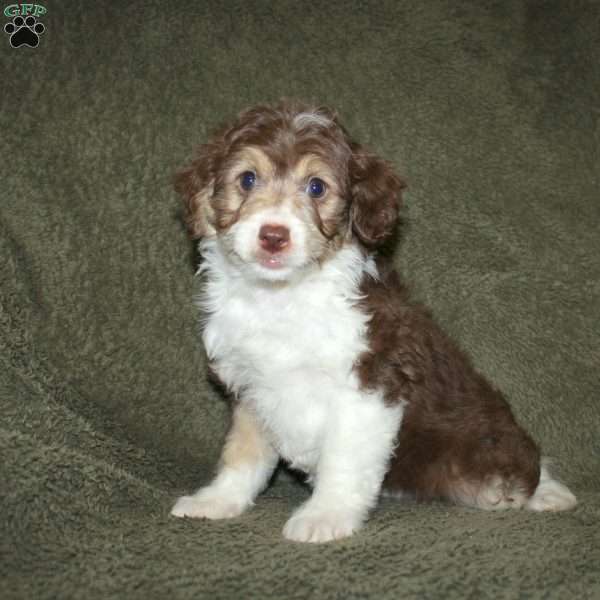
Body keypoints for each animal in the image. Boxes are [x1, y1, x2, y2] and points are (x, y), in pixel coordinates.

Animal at [170, 99, 576, 544]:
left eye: (316, 187)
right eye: (247, 179)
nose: (273, 235)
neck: (283, 296)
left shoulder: (369, 383)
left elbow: (343, 459)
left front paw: (325, 515)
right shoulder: (252, 388)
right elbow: (242, 453)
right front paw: (217, 500)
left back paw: (541, 491)